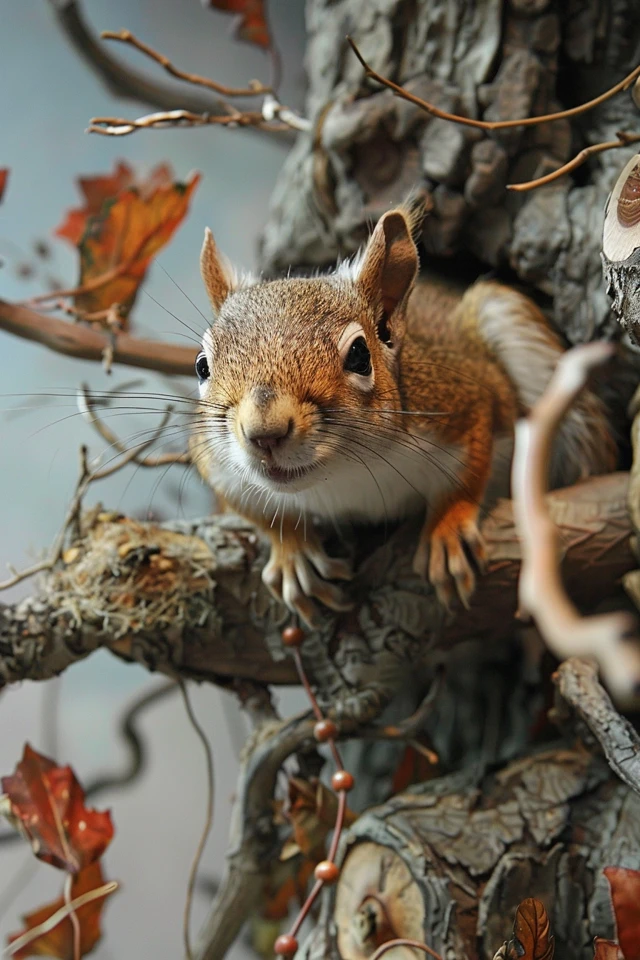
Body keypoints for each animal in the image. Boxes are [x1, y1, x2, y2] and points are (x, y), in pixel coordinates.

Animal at [190, 201, 616, 626]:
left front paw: (447, 529)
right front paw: (293, 552)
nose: (265, 432)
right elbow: (254, 511)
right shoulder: (216, 462)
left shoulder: (465, 404)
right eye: (202, 366)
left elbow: (467, 473)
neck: (343, 472)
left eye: (359, 355)